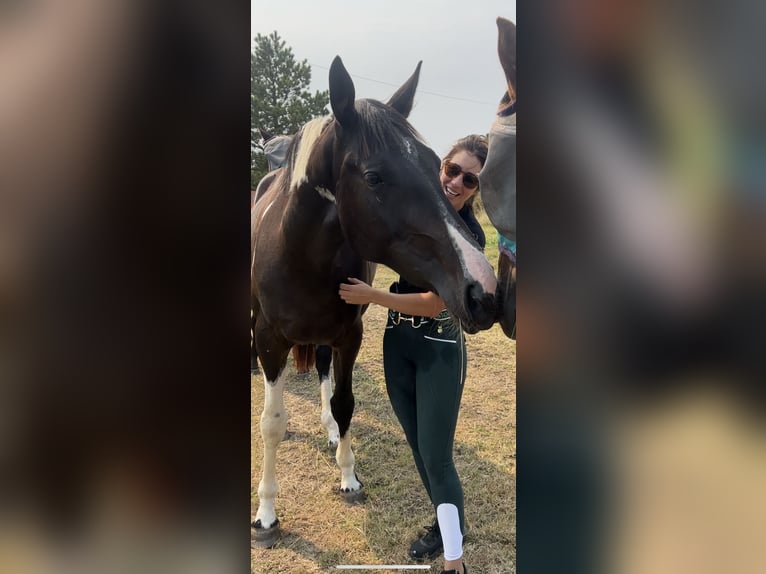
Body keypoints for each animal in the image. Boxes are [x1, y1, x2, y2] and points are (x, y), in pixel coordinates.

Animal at [251, 56, 498, 547]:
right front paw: (266, 514)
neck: (298, 254)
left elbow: (345, 403)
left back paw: (330, 431)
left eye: (435, 165)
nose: (483, 290)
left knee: (324, 375)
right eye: (373, 177)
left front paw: (348, 478)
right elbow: (272, 422)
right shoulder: (269, 341)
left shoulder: (349, 335)